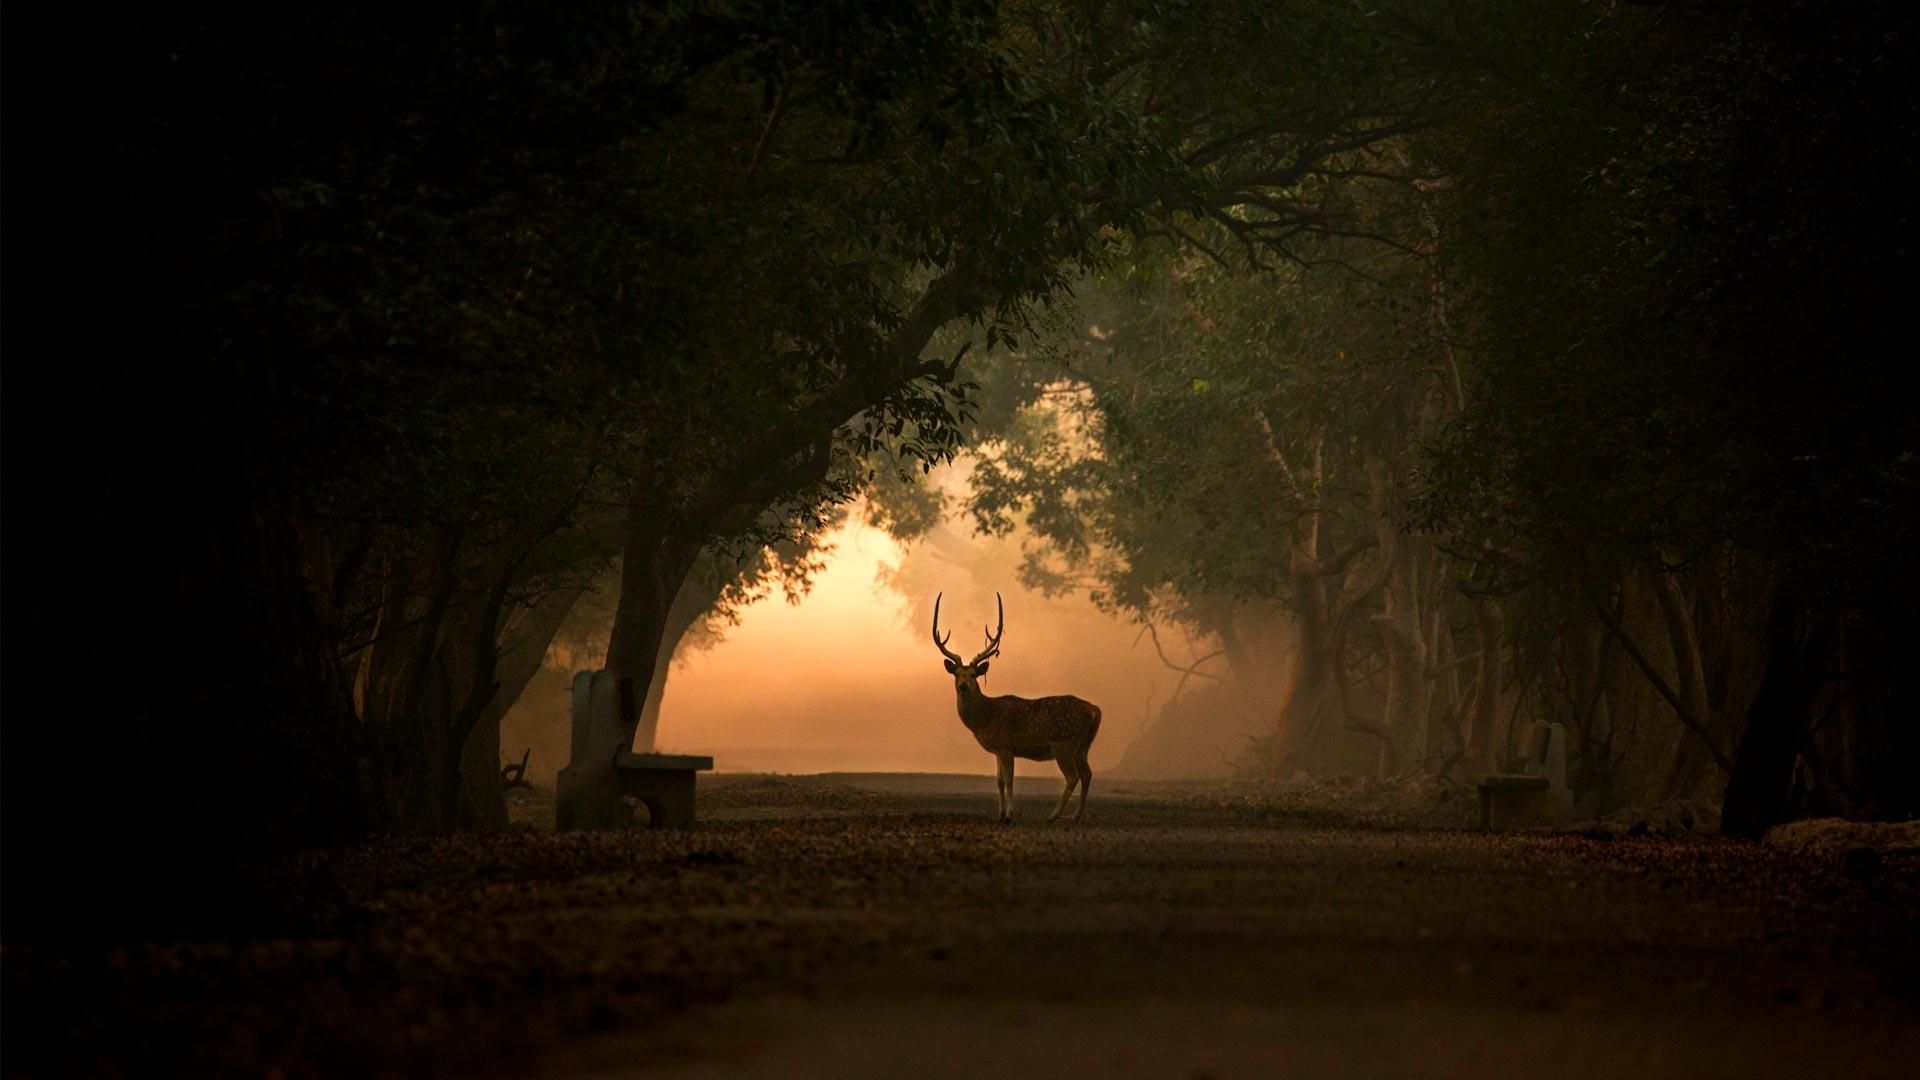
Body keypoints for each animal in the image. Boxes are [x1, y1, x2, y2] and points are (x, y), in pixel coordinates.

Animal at [932, 592, 1102, 824]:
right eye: (957, 673)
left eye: (974, 674)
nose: (963, 686)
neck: (985, 718)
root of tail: (1094, 710)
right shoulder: (997, 750)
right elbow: (999, 781)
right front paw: (1000, 814)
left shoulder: (1006, 745)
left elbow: (1010, 779)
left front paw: (1010, 815)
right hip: (1083, 744)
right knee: (1087, 774)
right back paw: (1076, 816)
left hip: (1063, 741)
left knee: (1073, 776)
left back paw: (1053, 815)